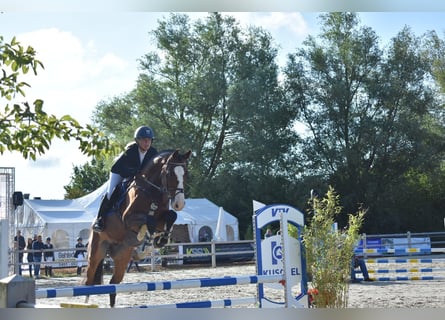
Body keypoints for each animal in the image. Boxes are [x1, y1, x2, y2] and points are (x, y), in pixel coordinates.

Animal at [84, 149, 190, 306]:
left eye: (185, 173)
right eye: (170, 173)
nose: (179, 204)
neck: (151, 190)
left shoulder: (161, 218)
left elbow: (171, 216)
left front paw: (160, 240)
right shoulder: (128, 218)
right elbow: (149, 220)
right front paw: (146, 237)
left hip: (122, 257)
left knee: (113, 284)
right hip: (96, 253)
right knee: (89, 280)